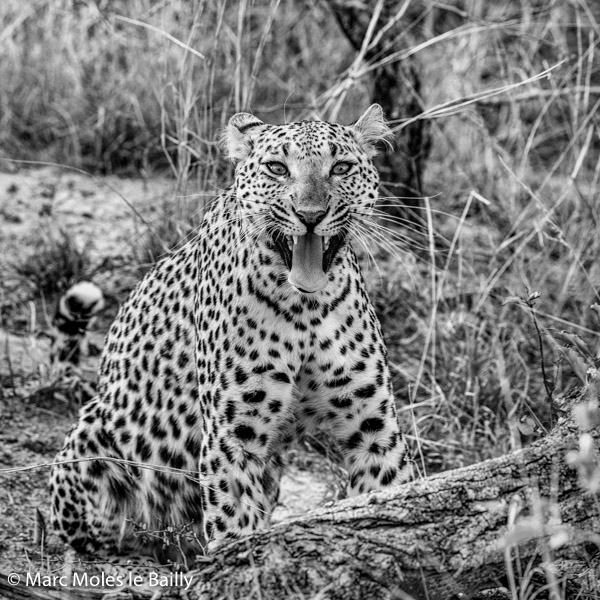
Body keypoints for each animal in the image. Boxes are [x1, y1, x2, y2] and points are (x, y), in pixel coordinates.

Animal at [49, 105, 412, 564]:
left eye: (341, 168)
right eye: (278, 168)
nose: (310, 215)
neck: (306, 308)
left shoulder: (372, 424)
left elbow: (392, 489)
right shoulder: (232, 431)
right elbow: (235, 515)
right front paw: (240, 563)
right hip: (94, 440)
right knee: (93, 534)